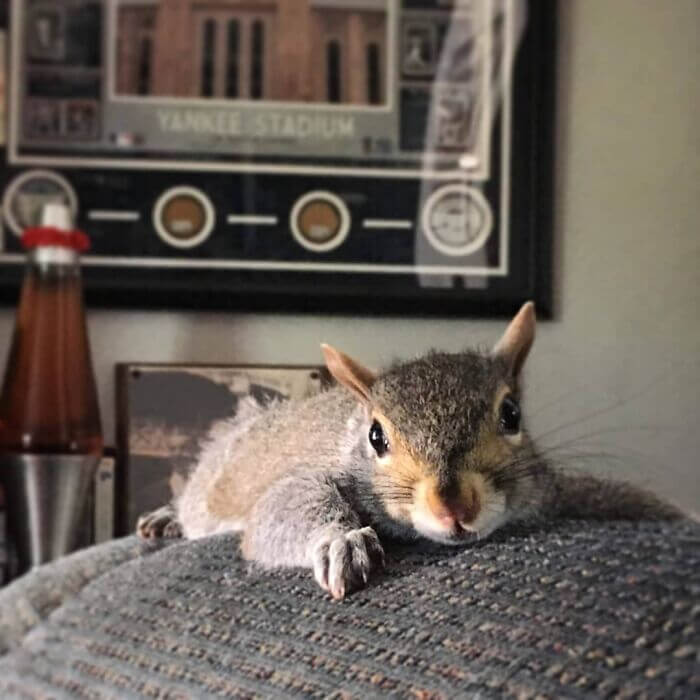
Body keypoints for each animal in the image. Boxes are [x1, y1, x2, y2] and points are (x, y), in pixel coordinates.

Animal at [137, 302, 681, 599]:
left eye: (512, 415)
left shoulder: (553, 492)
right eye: (376, 436)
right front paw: (342, 542)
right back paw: (166, 518)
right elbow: (284, 508)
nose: (453, 507)